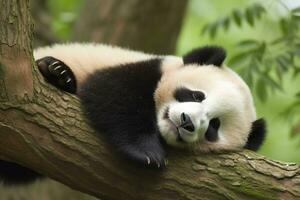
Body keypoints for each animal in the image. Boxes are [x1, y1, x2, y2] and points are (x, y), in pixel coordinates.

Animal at [0, 42, 268, 184]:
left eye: (214, 126)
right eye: (196, 95)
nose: (187, 122)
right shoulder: (145, 68)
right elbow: (113, 92)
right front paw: (148, 153)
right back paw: (58, 72)